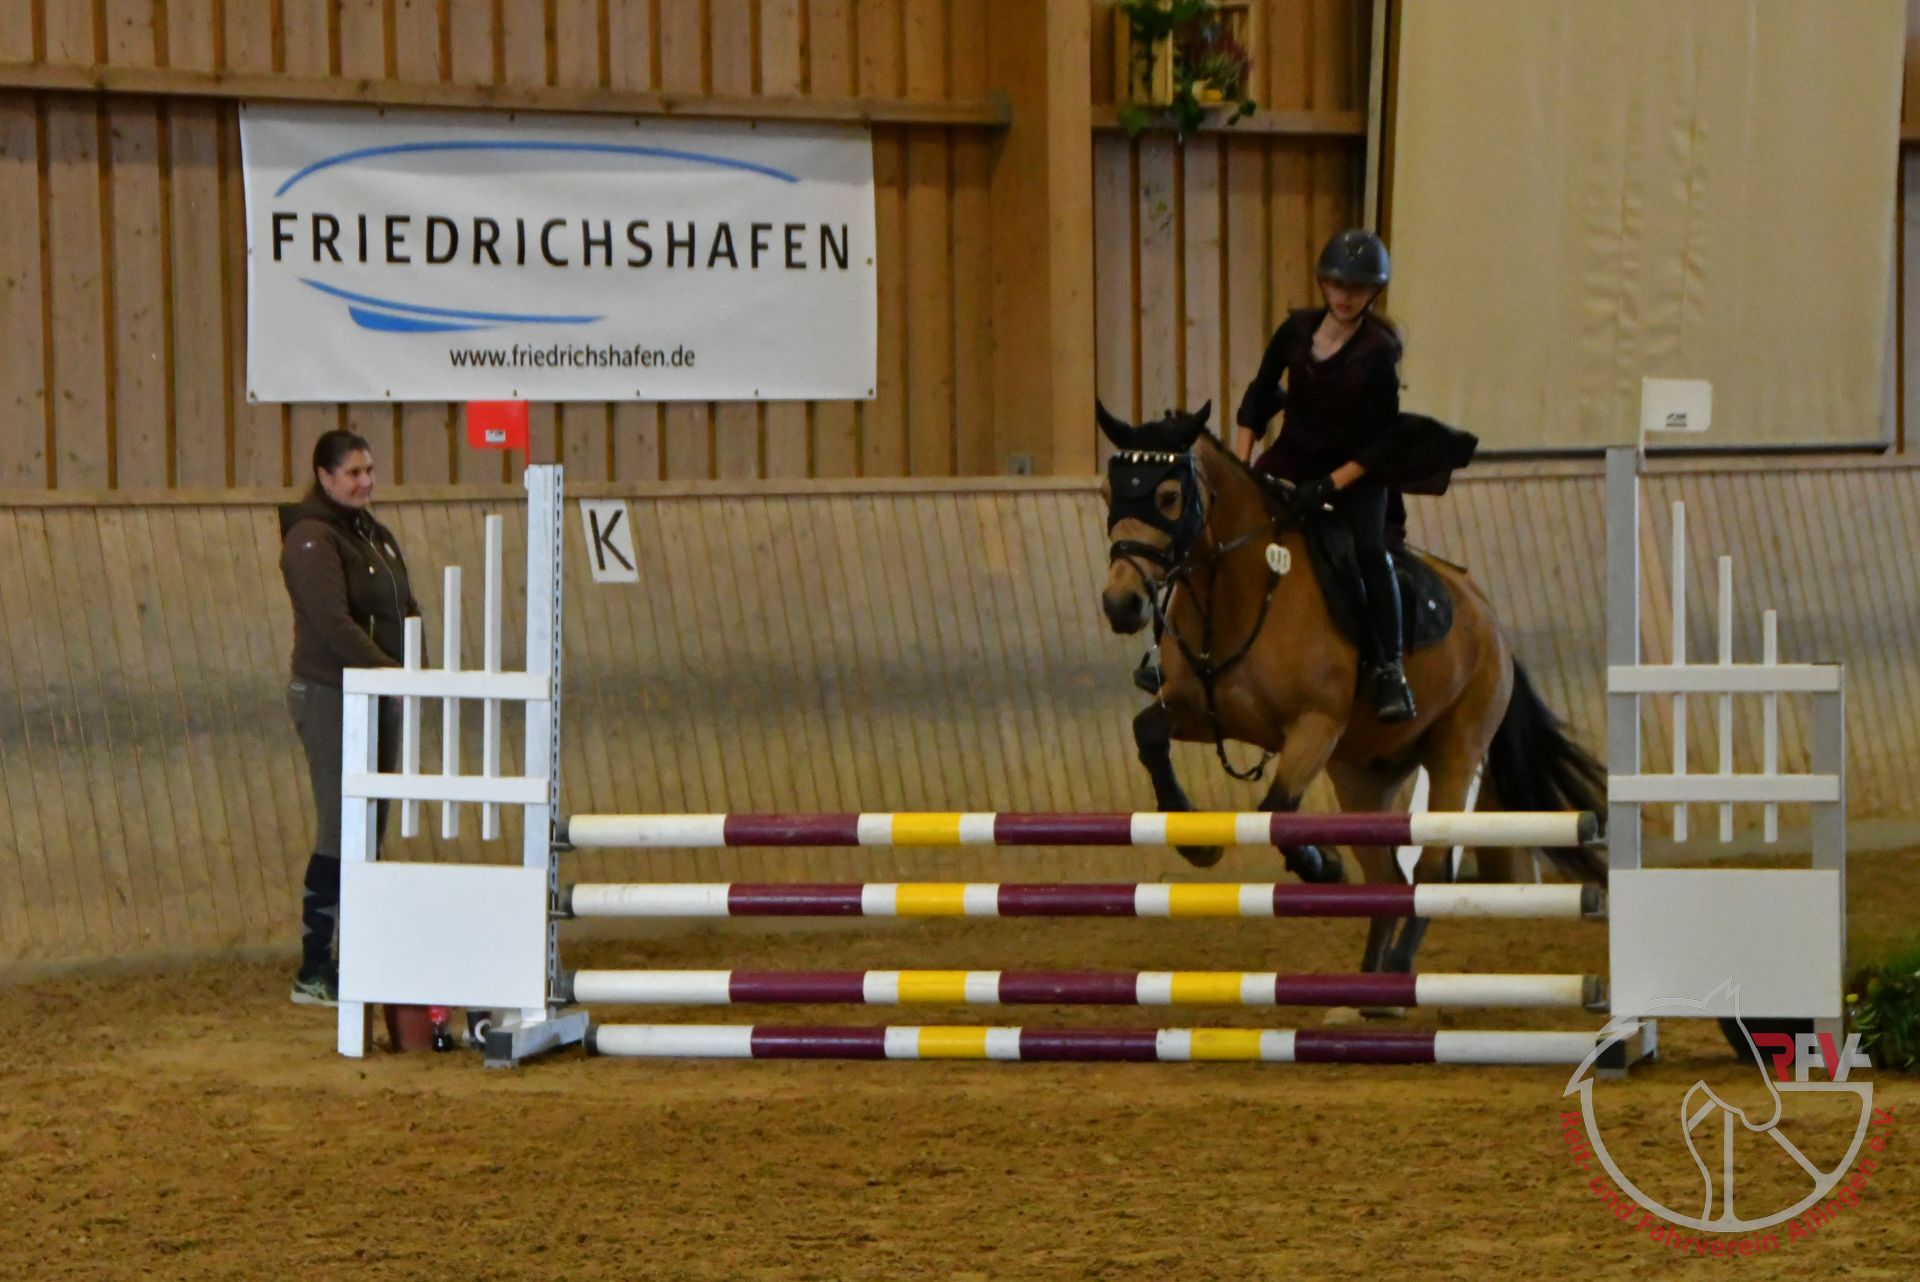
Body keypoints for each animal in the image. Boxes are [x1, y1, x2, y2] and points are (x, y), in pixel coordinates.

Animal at [1096, 401, 1606, 984]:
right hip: (1362, 773)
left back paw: (1400, 967)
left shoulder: (1315, 726)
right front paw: (1193, 840)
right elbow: (1149, 734)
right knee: (1386, 879)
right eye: (1110, 494)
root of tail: (1490, 620)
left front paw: (1323, 864)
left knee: (1433, 867)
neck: (1241, 591)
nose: (1121, 604)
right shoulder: (1204, 713)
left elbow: (1275, 809)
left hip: (1456, 750)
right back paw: (1369, 982)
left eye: (1167, 497)